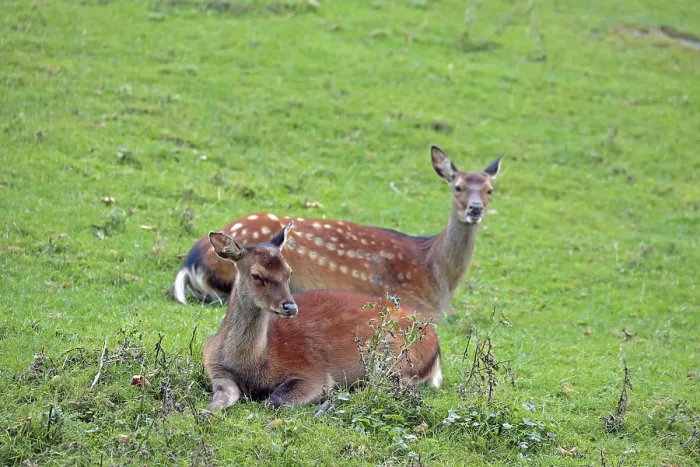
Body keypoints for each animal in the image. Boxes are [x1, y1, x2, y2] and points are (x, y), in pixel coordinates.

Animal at [174, 146, 502, 322]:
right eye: (457, 186)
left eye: (490, 190)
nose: (475, 209)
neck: (438, 277)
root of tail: (191, 260)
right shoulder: (415, 302)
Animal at [202, 222, 442, 412]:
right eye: (256, 275)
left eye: (289, 272)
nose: (290, 306)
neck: (255, 361)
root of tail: (436, 345)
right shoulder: (216, 369)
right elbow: (219, 399)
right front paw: (204, 415)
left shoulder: (312, 372)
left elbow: (276, 399)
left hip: (397, 359)